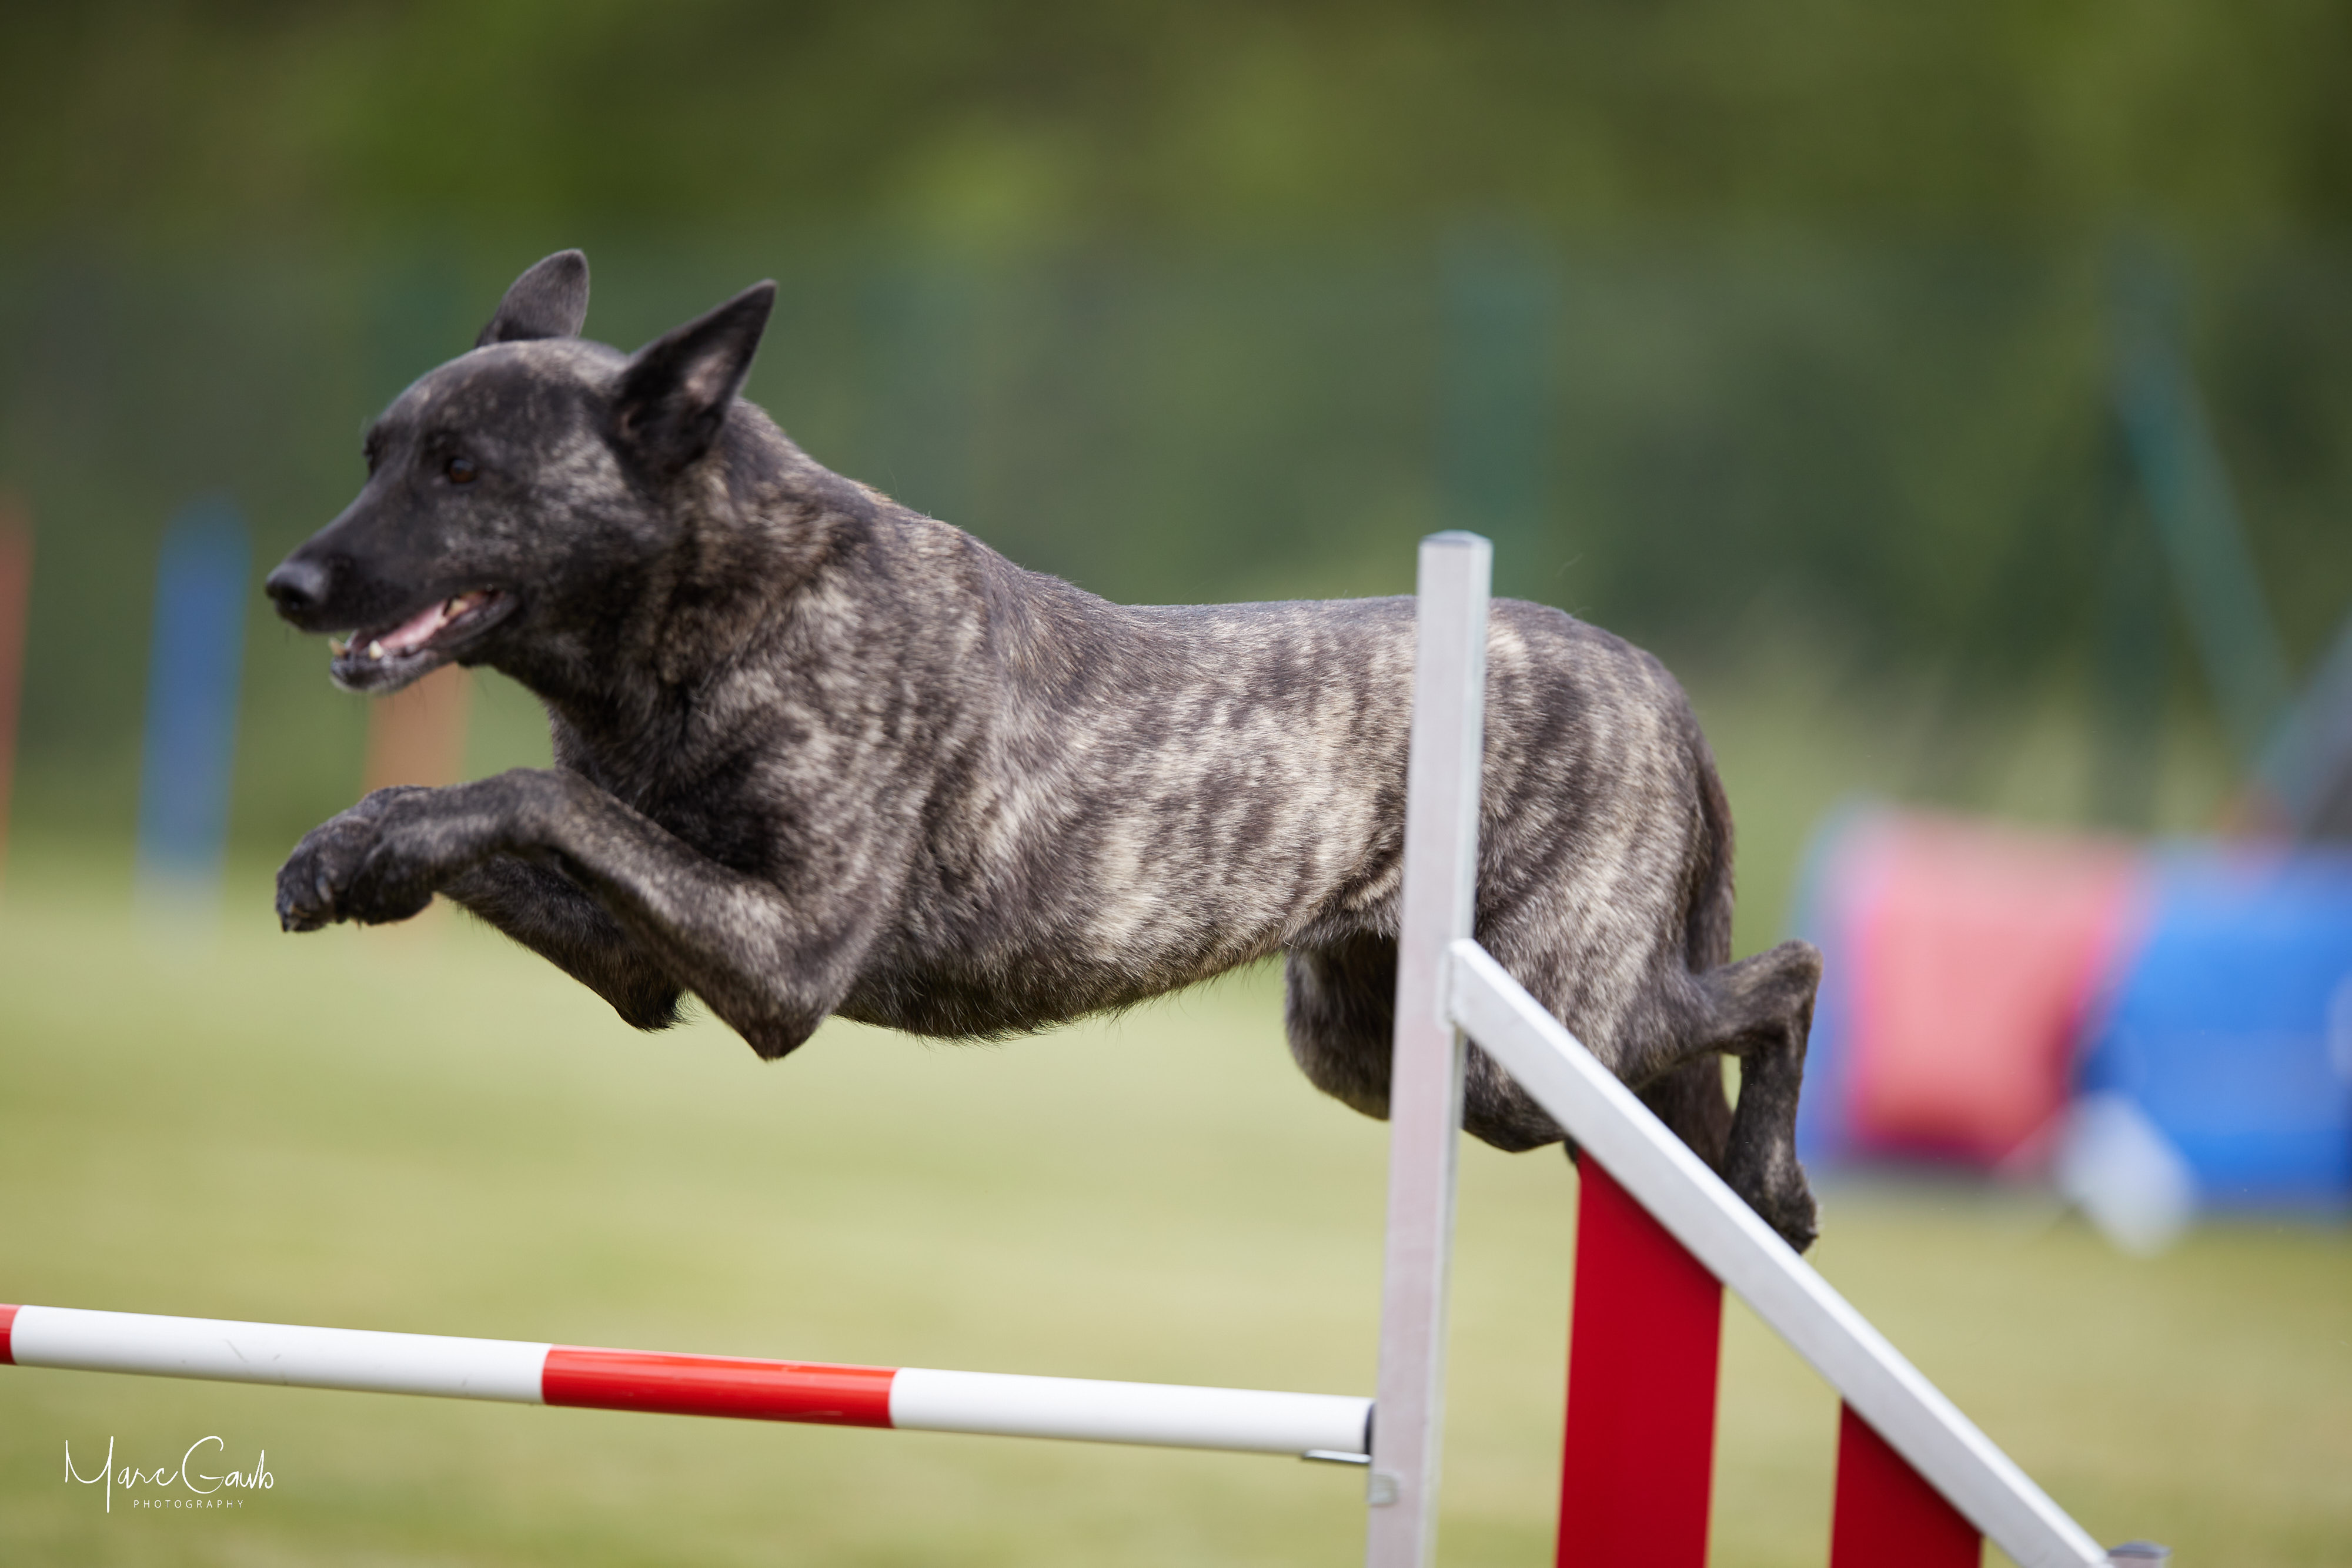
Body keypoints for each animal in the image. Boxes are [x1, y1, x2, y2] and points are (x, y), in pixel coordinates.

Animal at [264, 251, 1824, 1249]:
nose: (288, 585)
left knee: (1788, 978)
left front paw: (391, 832)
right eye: (375, 453)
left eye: (463, 469)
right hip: (1380, 1049)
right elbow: (520, 818)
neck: (717, 600)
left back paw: (1781, 1181)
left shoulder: (784, 956)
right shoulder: (651, 958)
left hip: (1533, 1038)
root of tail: (1655, 680)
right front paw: (359, 850)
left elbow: (528, 793)